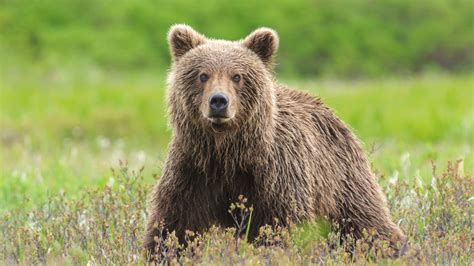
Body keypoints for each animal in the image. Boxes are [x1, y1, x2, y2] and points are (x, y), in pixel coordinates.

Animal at [143, 23, 404, 256]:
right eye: (202, 75)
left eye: (237, 76)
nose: (218, 101)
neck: (228, 152)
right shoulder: (193, 170)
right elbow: (174, 225)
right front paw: (162, 251)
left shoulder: (276, 175)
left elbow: (284, 226)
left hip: (341, 178)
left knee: (365, 220)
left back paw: (393, 248)